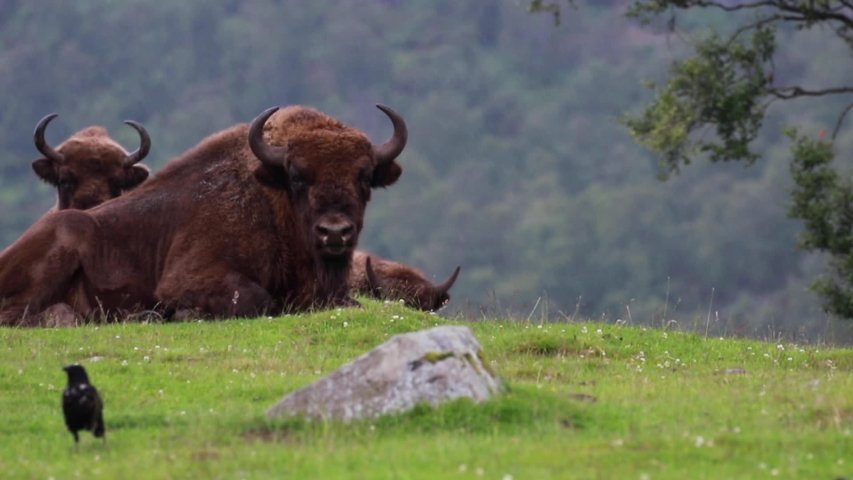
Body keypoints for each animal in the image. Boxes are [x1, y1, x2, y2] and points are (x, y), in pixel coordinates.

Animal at [0, 104, 407, 327]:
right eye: (297, 176)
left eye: (365, 175)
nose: (334, 233)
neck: (270, 198)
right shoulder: (187, 278)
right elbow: (259, 300)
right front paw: (181, 314)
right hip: (63, 242)